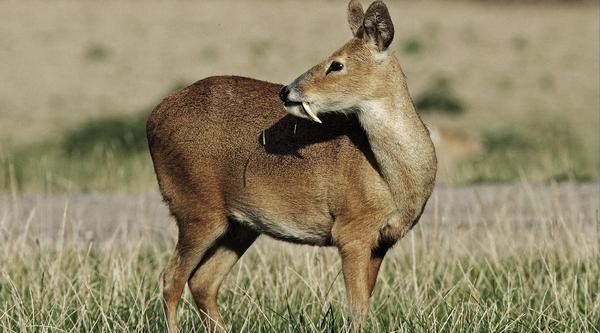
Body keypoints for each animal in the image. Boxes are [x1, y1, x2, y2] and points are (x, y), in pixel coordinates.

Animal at [145, 1, 436, 330]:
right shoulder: (351, 230)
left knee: (202, 281)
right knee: (171, 279)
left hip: (240, 225)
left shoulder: (382, 242)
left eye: (336, 64)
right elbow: (357, 309)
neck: (393, 179)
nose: (287, 90)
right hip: (196, 208)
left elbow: (363, 305)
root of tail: (153, 118)